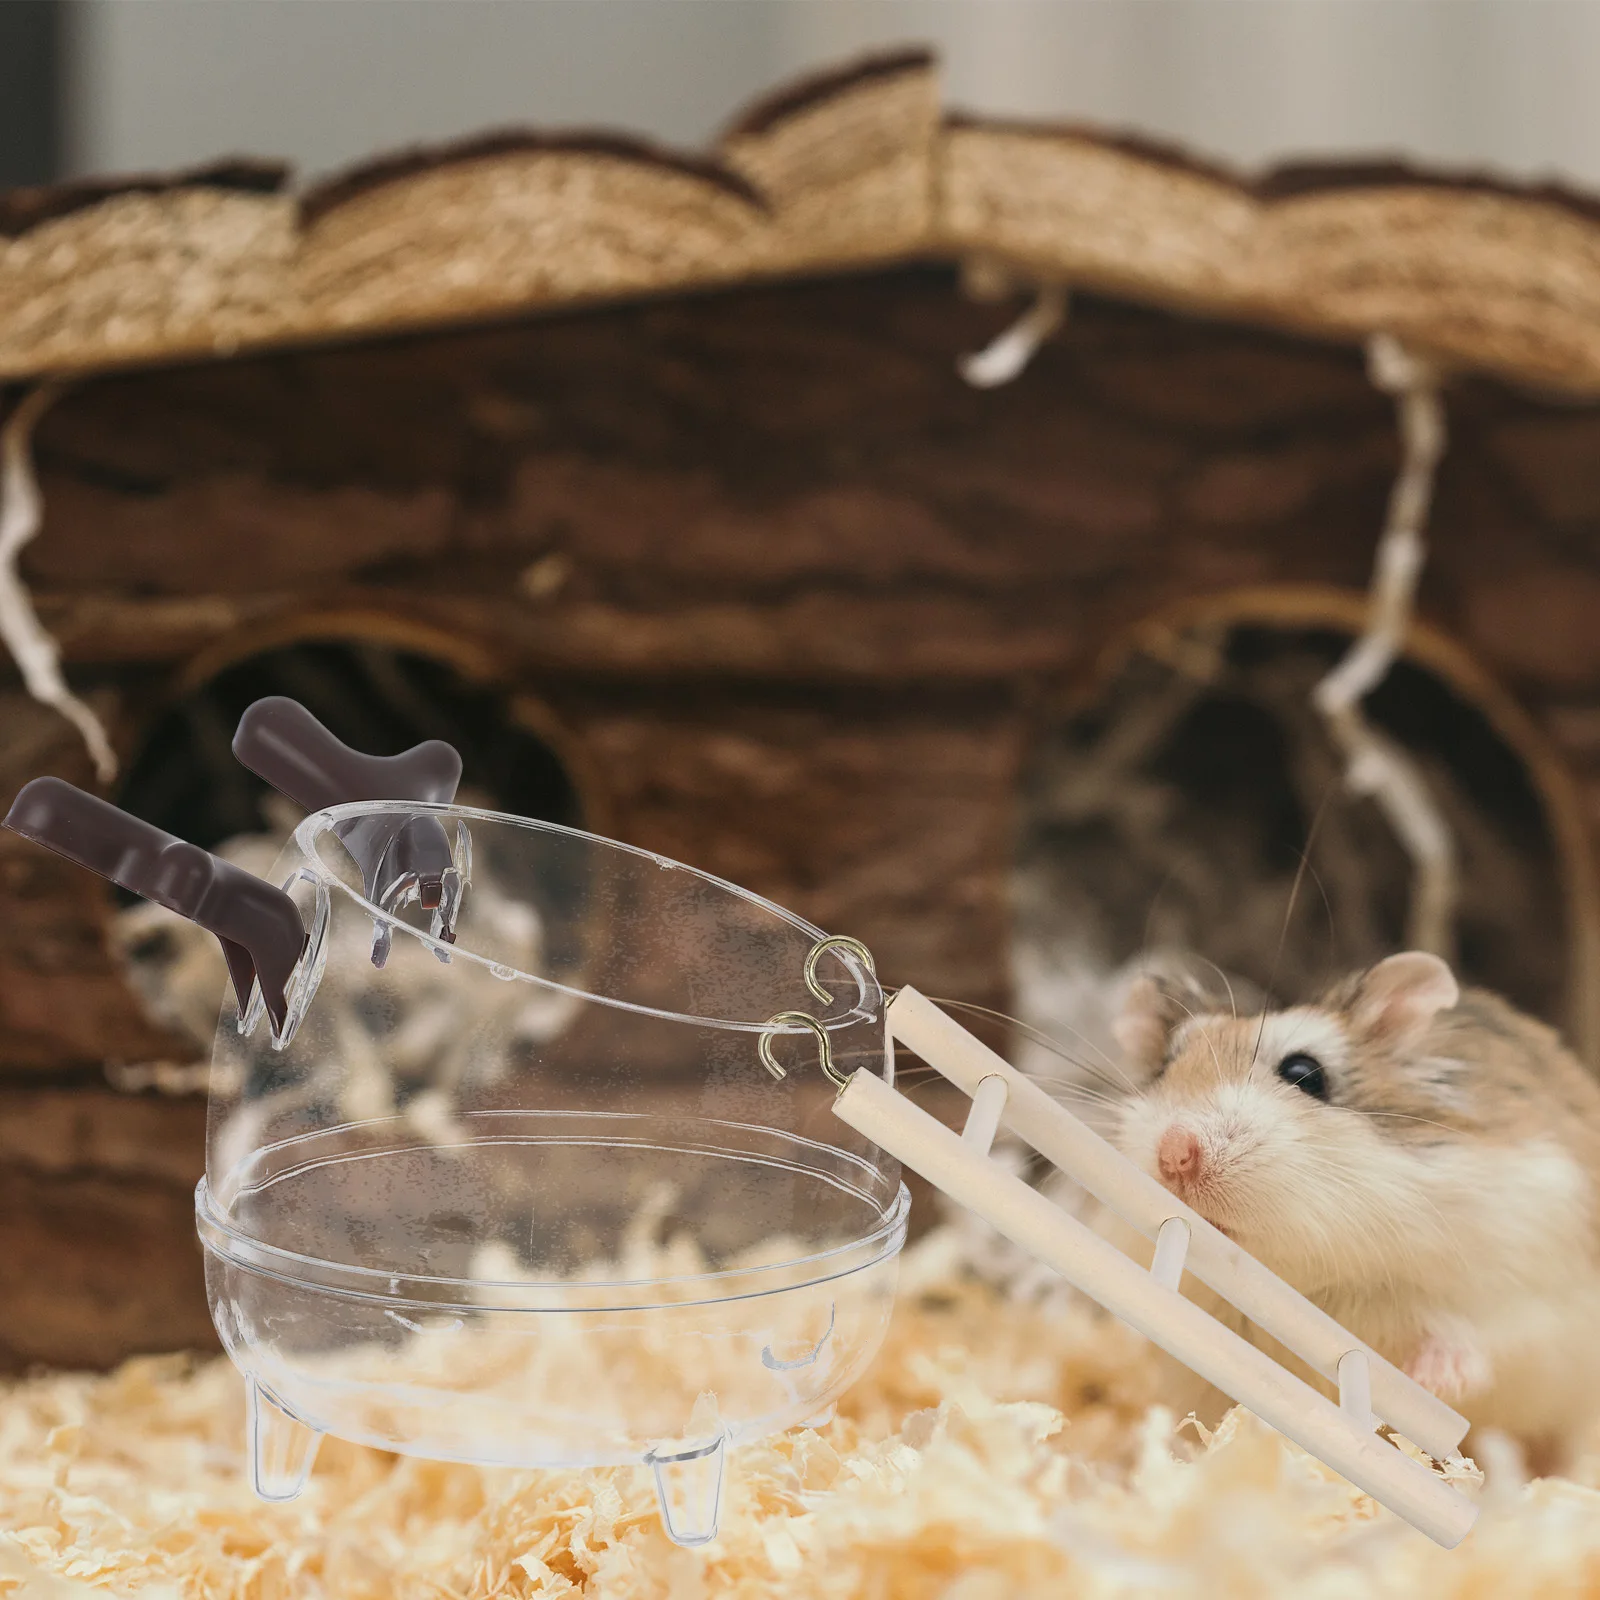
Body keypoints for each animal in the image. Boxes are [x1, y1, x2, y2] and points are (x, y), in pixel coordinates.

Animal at [1095, 951, 1600, 1477]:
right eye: (1164, 1067)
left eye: (1304, 1072)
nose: (1174, 1154)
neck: (1301, 1284)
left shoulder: (1528, 1294)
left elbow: (1480, 1339)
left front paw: (1431, 1379)